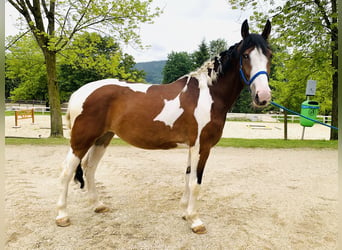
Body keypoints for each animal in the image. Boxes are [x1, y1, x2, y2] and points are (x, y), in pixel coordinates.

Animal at [56, 20, 272, 234]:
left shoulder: (192, 147)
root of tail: (78, 93)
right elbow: (196, 183)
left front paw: (185, 213)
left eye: (269, 55)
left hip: (102, 138)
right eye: (245, 55)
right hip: (81, 140)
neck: (208, 94)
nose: (263, 96)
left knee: (89, 168)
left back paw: (98, 205)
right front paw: (196, 221)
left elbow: (187, 178)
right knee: (67, 171)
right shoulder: (202, 146)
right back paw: (62, 216)